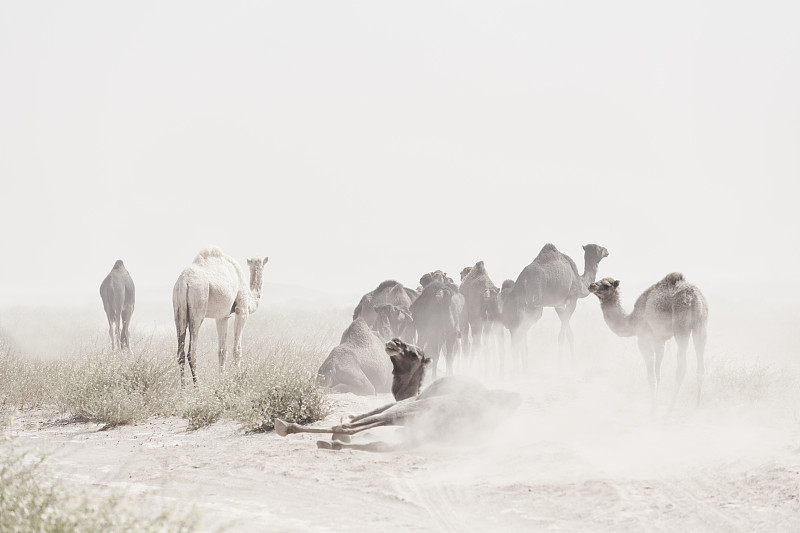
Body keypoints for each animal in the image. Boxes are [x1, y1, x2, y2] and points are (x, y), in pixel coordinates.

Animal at [172, 247, 268, 384]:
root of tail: (184, 283)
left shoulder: (222, 317)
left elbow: (222, 351)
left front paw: (221, 380)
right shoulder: (242, 310)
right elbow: (237, 349)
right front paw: (237, 379)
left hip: (178, 310)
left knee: (180, 352)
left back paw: (183, 387)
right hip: (198, 305)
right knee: (192, 352)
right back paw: (197, 386)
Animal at [276, 336, 524, 448]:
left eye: (414, 354)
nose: (394, 341)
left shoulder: (406, 401)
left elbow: (363, 415)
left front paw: (345, 420)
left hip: (421, 408)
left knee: (366, 423)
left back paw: (292, 427)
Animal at [584, 272, 708, 410]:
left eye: (606, 285)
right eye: (598, 280)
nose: (591, 285)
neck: (631, 321)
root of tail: (694, 298)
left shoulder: (644, 338)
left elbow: (651, 377)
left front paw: (653, 408)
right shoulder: (659, 340)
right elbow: (658, 374)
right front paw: (656, 402)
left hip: (681, 325)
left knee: (681, 366)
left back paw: (670, 409)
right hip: (701, 324)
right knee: (700, 366)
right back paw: (696, 406)